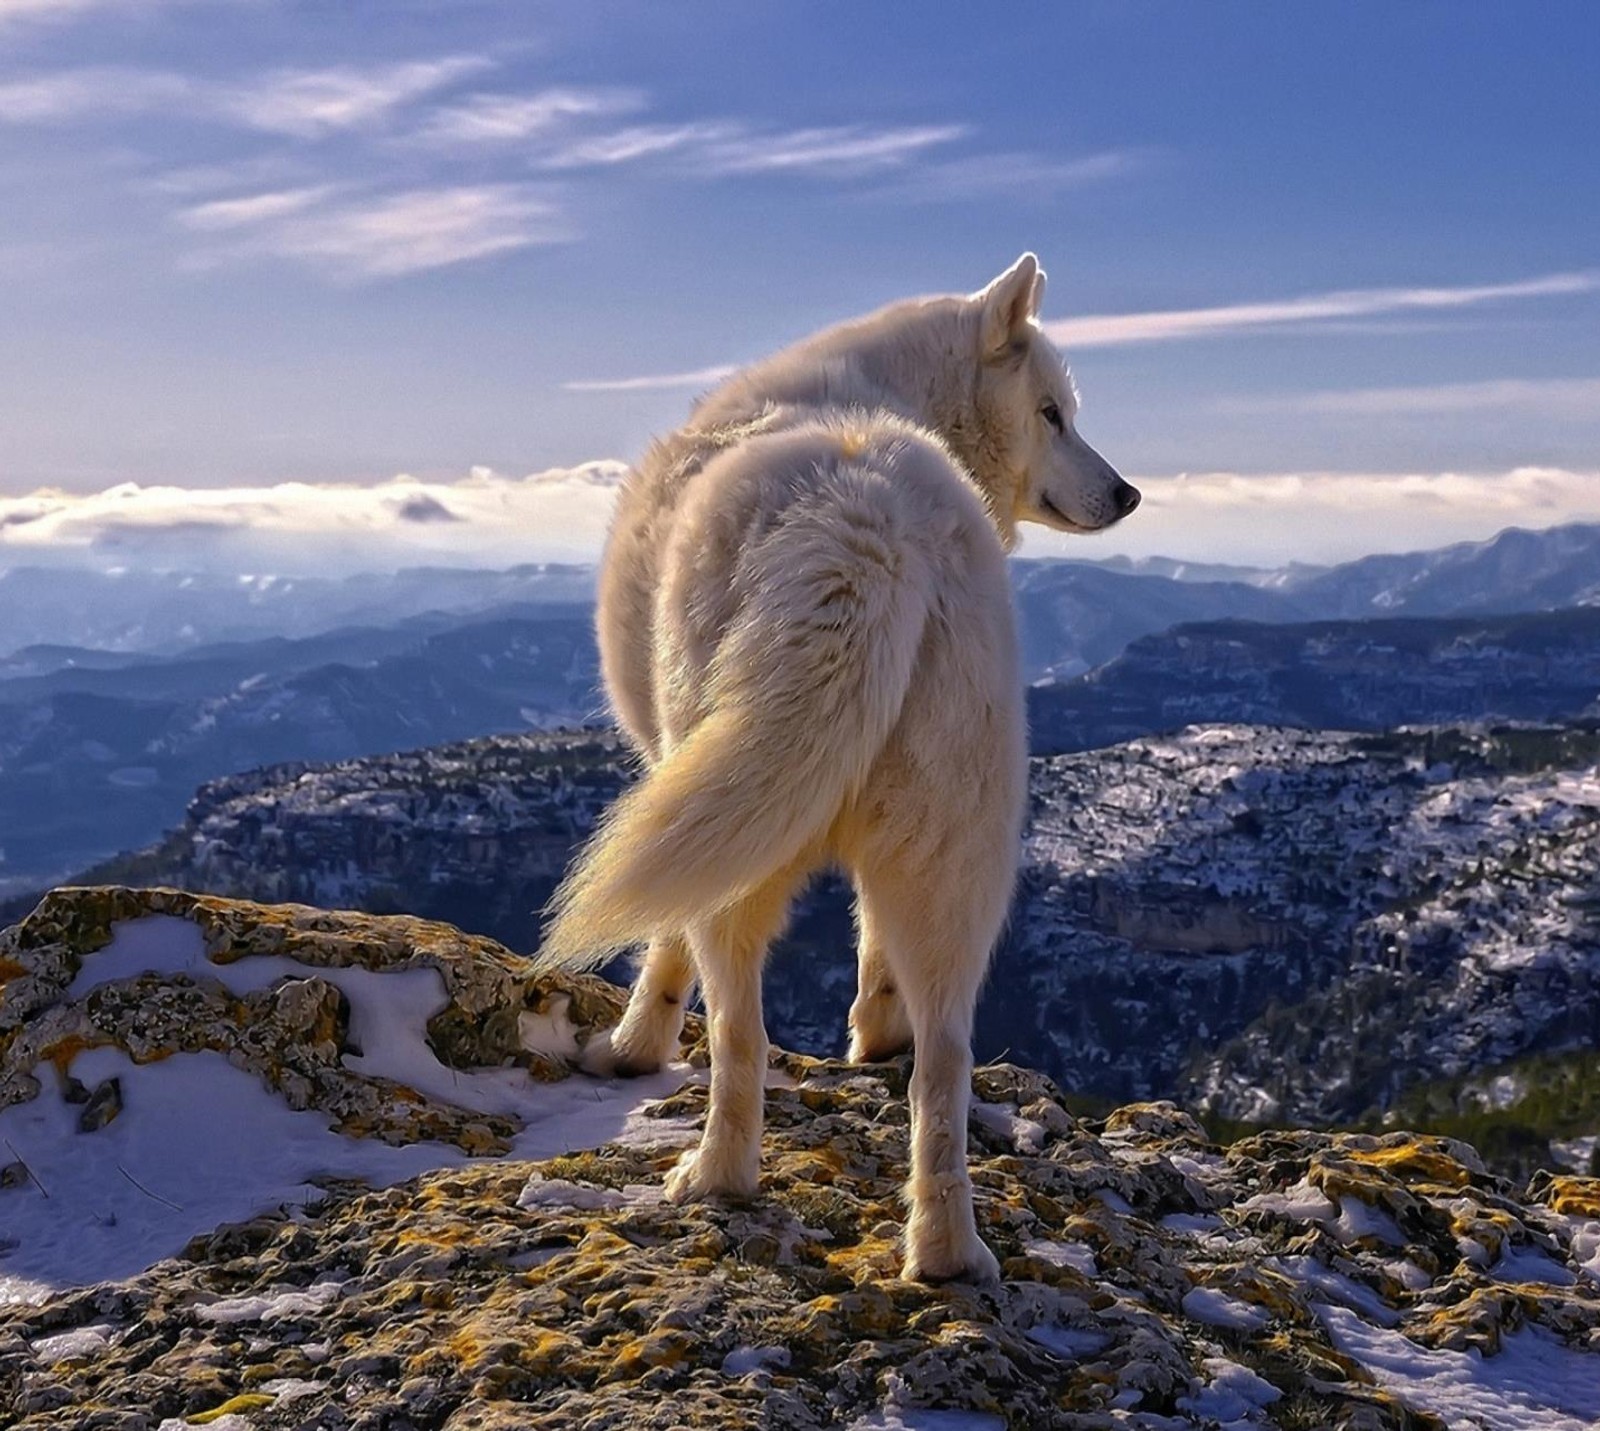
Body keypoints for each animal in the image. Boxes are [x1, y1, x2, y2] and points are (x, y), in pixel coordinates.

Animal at [540, 252, 1139, 1280]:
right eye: (1054, 413)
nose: (1130, 493)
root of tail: (871, 524)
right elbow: (870, 949)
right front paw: (874, 1033)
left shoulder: (679, 777)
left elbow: (662, 950)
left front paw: (631, 1046)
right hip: (954, 851)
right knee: (946, 1058)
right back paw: (944, 1249)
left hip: (742, 837)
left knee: (741, 1032)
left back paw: (714, 1176)